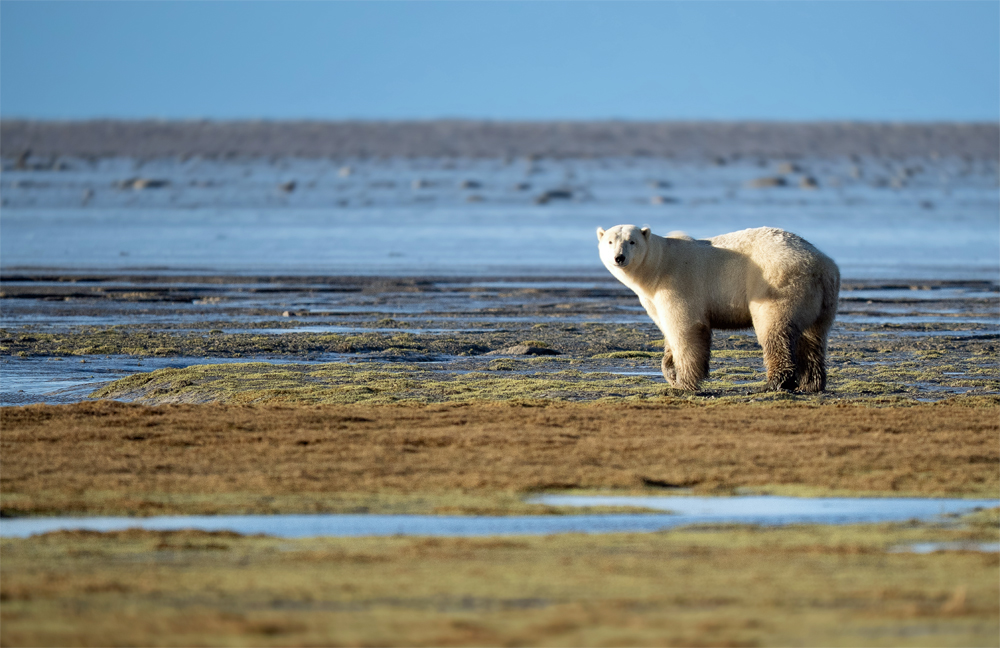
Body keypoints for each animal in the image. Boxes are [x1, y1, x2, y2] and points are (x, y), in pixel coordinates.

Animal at [596, 225, 840, 393]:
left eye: (631, 241)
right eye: (609, 241)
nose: (619, 257)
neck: (658, 266)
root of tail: (821, 265)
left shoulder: (678, 283)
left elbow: (686, 330)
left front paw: (684, 382)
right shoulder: (653, 299)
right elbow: (667, 331)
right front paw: (670, 371)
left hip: (776, 284)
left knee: (774, 330)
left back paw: (775, 382)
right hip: (822, 300)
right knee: (812, 337)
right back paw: (811, 383)